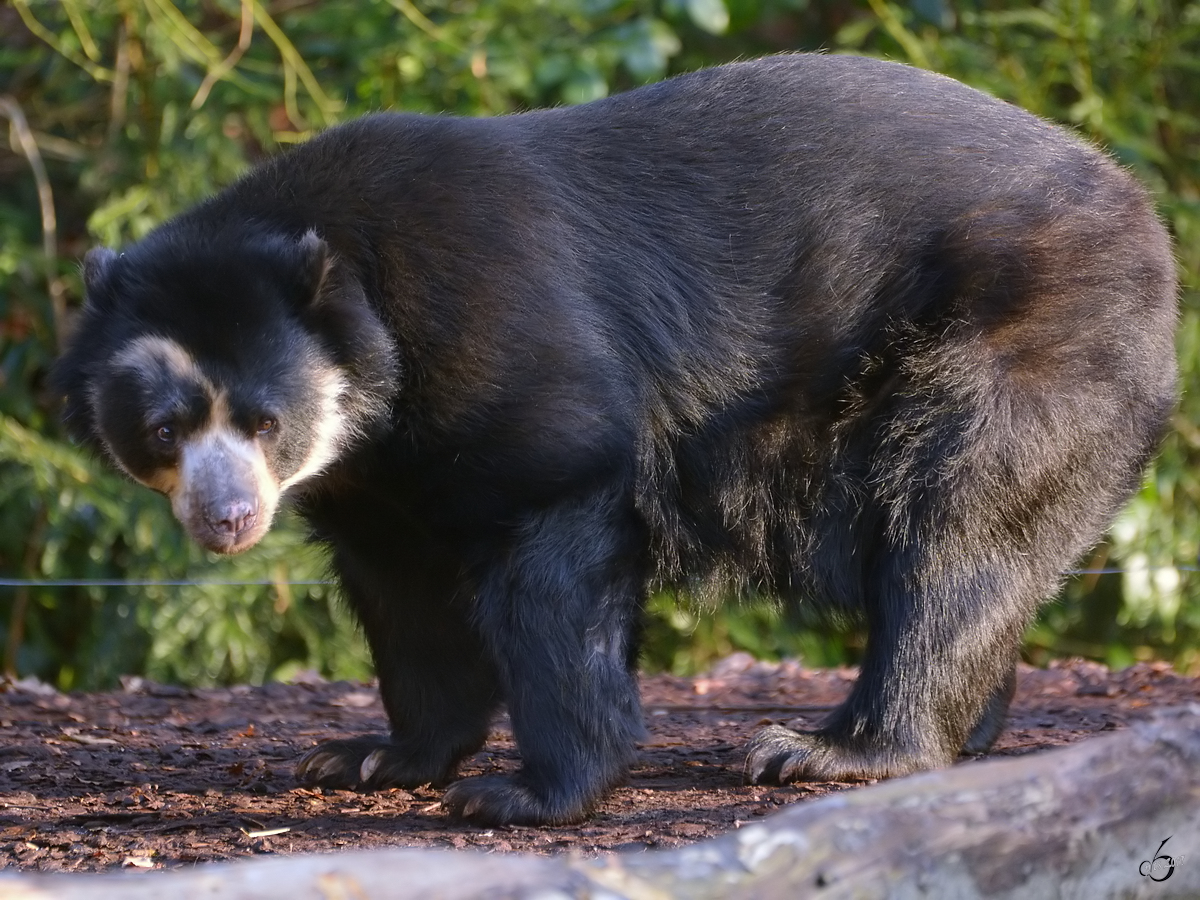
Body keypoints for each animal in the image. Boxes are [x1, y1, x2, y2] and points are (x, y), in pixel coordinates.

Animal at [51, 56, 1176, 830]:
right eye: (164, 429)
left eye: (262, 420)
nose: (228, 519)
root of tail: (1143, 208)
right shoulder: (377, 481)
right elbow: (408, 602)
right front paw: (369, 756)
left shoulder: (505, 355)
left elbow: (551, 544)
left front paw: (522, 793)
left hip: (1020, 343)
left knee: (953, 532)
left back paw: (836, 750)